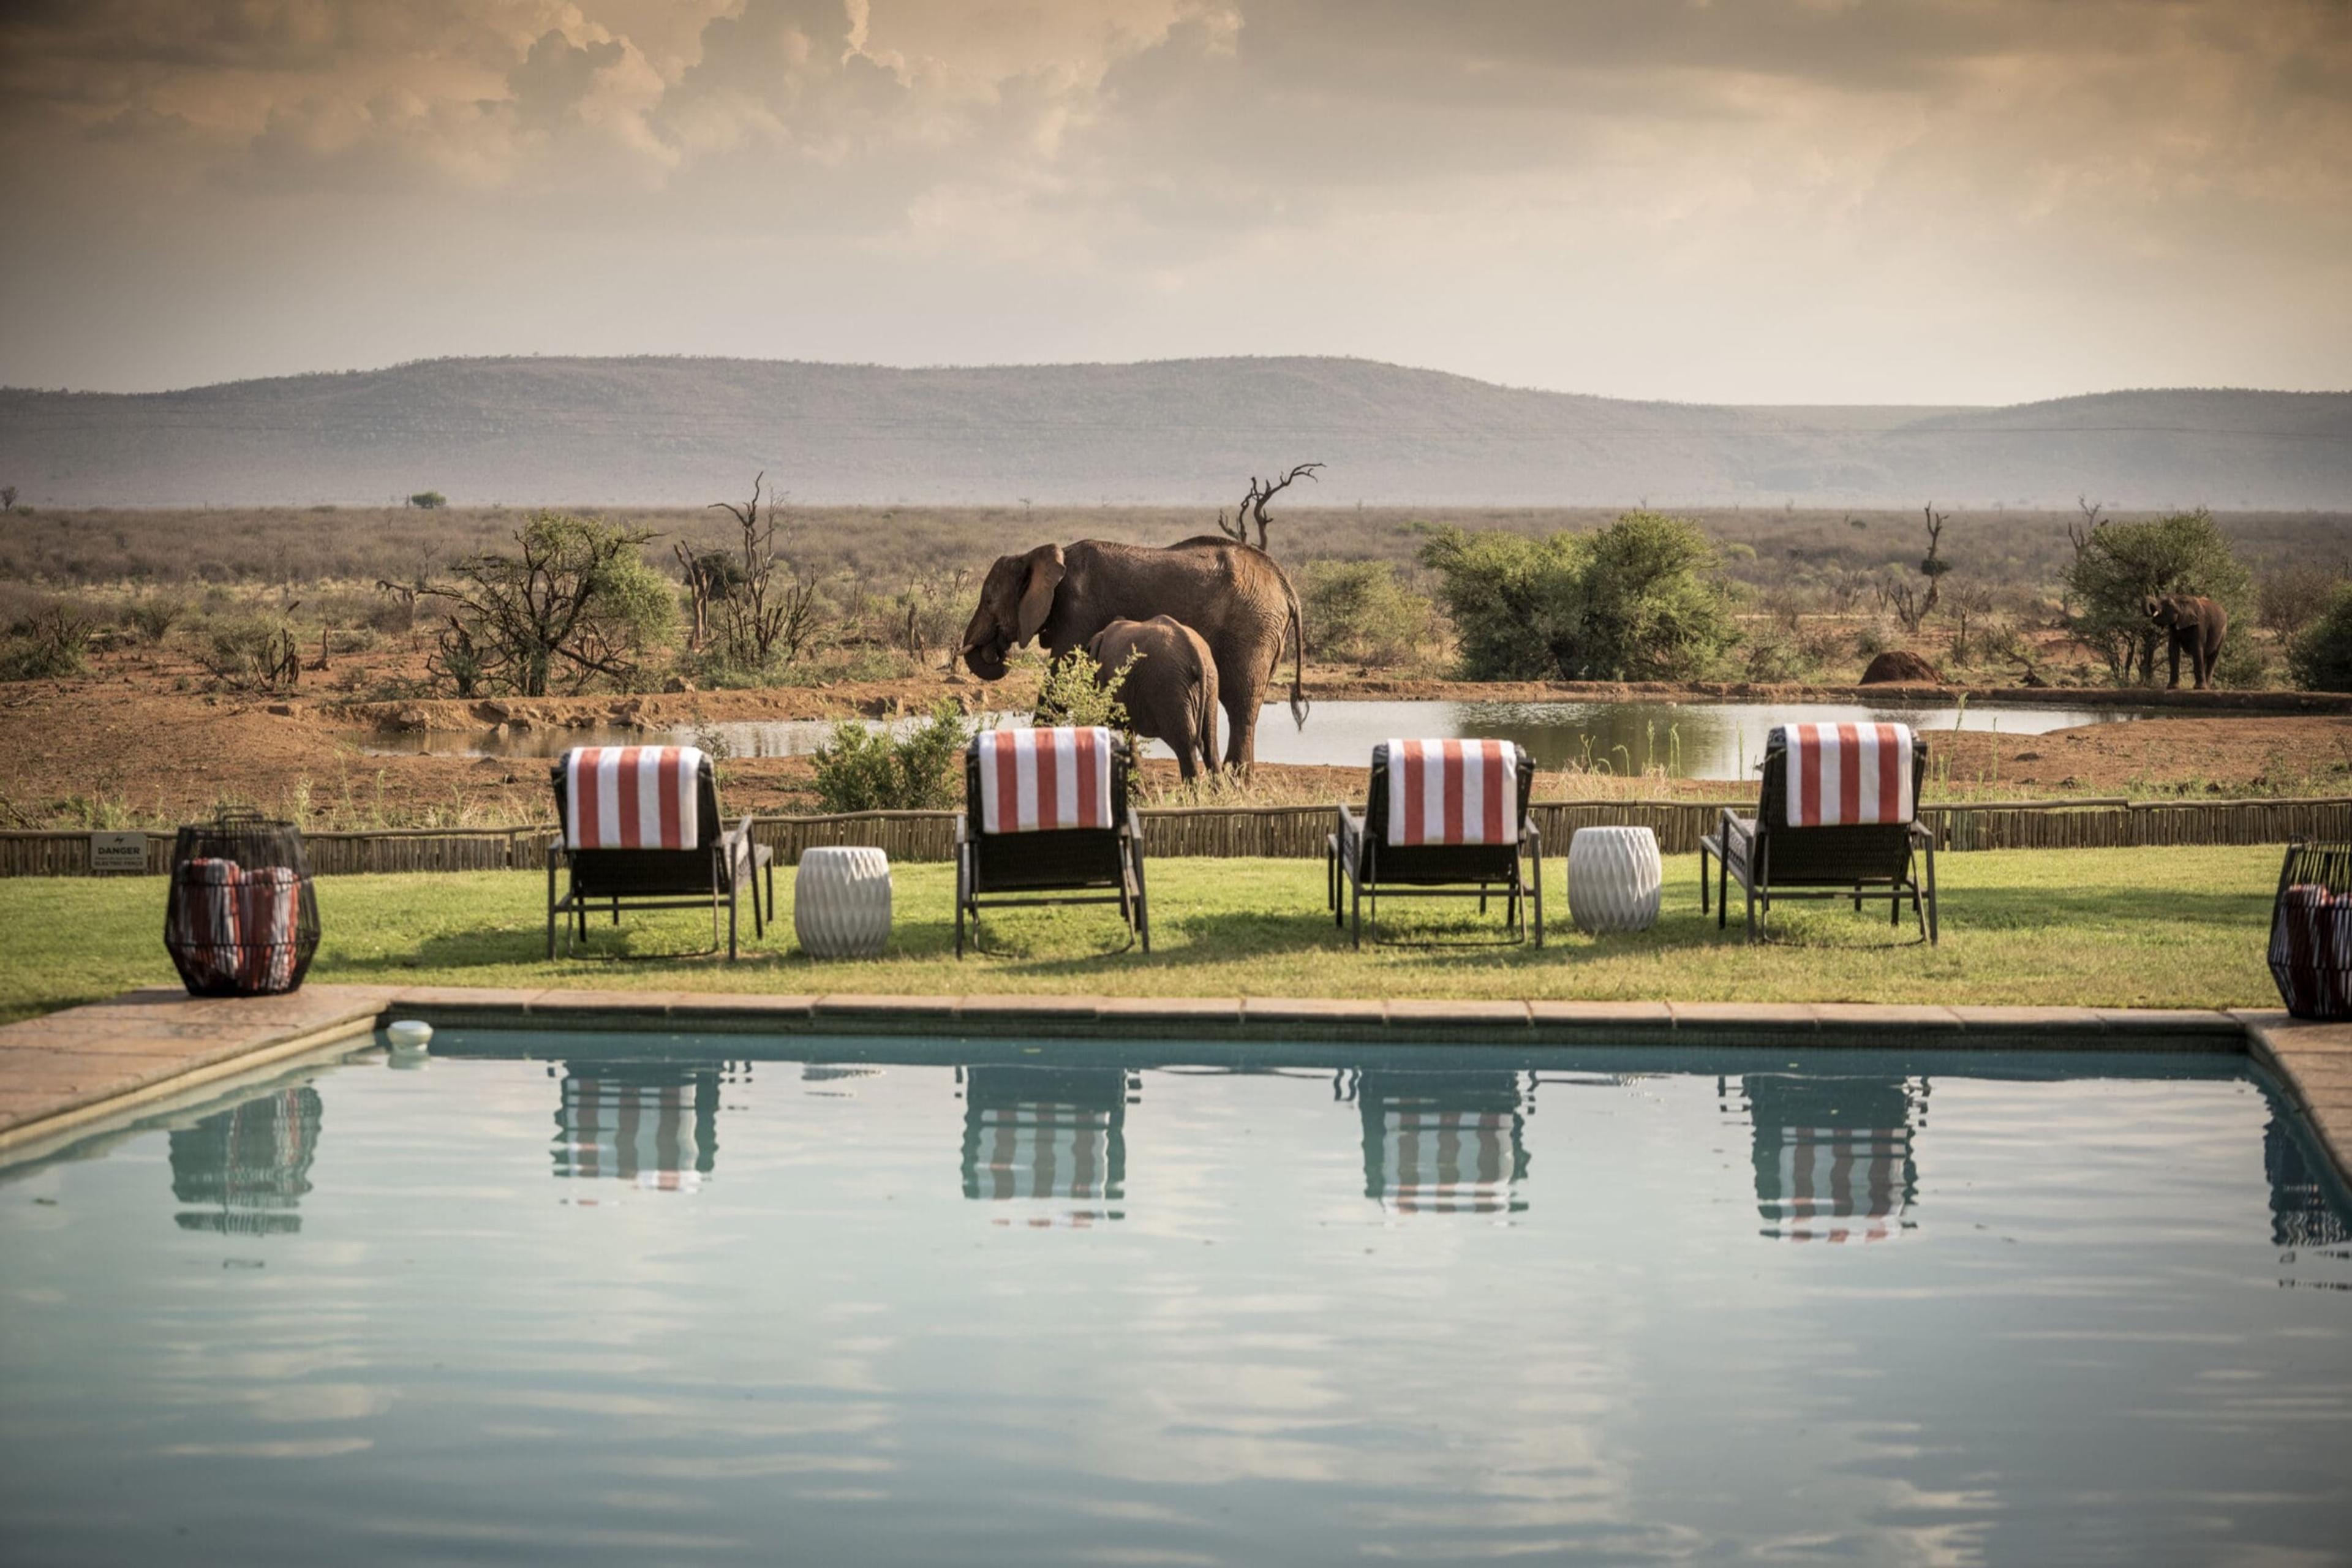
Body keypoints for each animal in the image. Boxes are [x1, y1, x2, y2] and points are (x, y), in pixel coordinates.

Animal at [2143, 593, 2227, 690]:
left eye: (2168, 604)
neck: (2180, 599)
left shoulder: (2200, 624)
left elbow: (2197, 648)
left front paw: (2199, 688)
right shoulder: (2174, 626)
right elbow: (2173, 649)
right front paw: (2172, 687)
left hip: (2223, 633)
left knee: (2213, 656)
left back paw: (2206, 687)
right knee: (2205, 656)